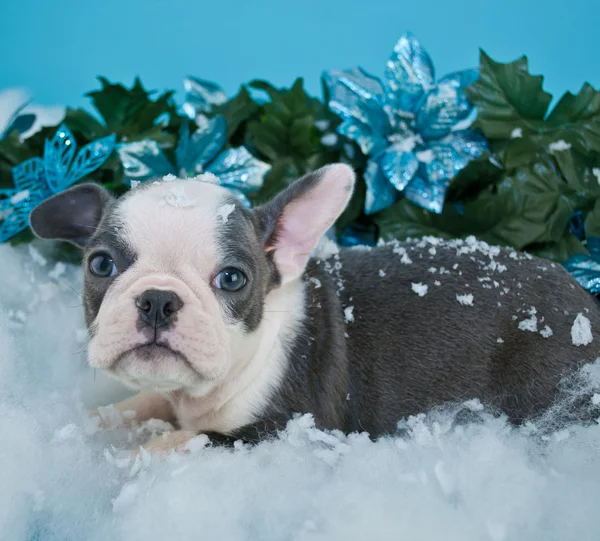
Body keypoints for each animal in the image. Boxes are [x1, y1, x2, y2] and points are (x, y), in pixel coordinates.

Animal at [29, 163, 600, 452]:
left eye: (232, 279)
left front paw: (127, 461)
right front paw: (98, 419)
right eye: (101, 265)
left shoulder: (284, 427)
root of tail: (586, 304)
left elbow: (179, 441)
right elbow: (143, 403)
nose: (157, 300)